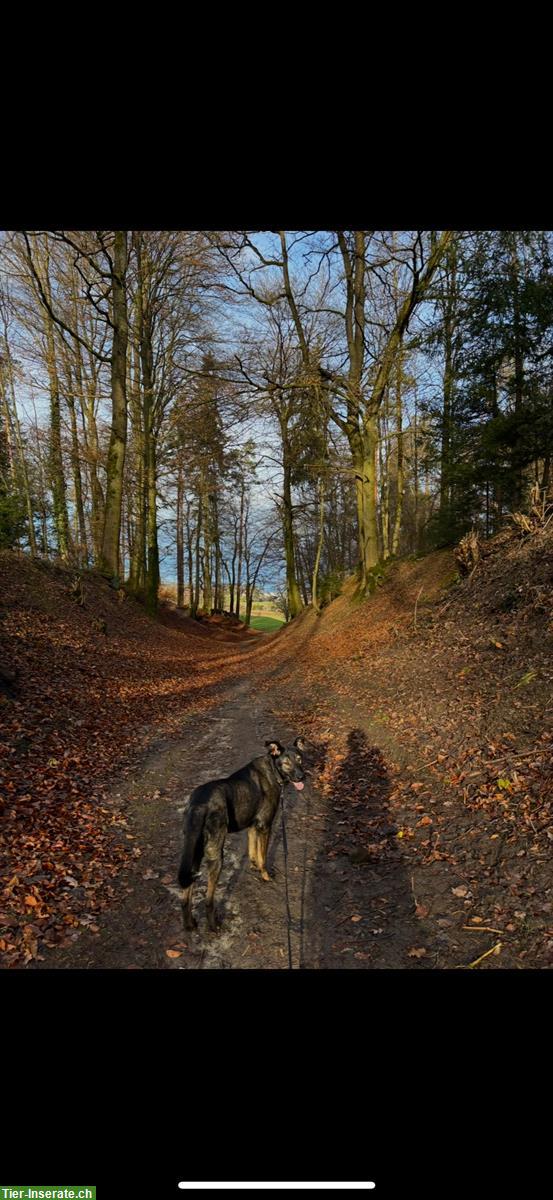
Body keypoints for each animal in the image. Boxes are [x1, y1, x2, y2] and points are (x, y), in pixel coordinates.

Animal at [177, 734, 305, 931]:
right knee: (208, 900)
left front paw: (253, 866)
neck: (273, 769)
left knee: (185, 895)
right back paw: (214, 926)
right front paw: (265, 876)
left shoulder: (253, 826)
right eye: (286, 763)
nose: (301, 776)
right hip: (215, 855)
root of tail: (199, 804)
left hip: (194, 852)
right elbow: (263, 857)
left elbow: (253, 850)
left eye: (299, 759)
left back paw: (189, 924)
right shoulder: (264, 826)